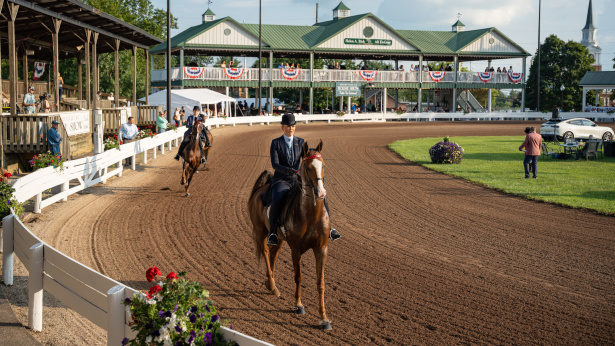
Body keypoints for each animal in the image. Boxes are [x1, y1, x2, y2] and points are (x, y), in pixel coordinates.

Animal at [248, 141, 332, 330]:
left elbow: (321, 283)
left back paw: (269, 284)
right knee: (266, 252)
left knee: (273, 254)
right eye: (308, 167)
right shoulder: (296, 249)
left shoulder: (322, 249)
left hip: (278, 238)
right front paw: (299, 305)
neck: (311, 214)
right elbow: (298, 277)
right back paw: (273, 286)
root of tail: (262, 187)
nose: (321, 193)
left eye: (323, 165)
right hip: (261, 231)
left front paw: (324, 318)